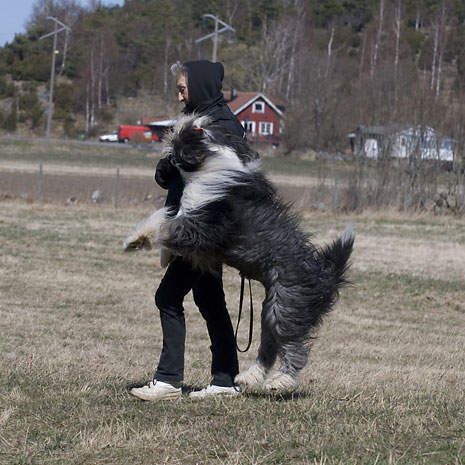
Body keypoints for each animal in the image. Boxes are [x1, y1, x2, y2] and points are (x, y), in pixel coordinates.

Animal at [123, 114, 354, 391]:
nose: (171, 125)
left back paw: (280, 380)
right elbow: (167, 218)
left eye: (181, 136)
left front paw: (136, 241)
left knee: (293, 345)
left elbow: (167, 223)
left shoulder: (204, 227)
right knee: (269, 344)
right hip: (269, 308)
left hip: (287, 304)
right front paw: (157, 251)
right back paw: (249, 375)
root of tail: (325, 275)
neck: (210, 164)